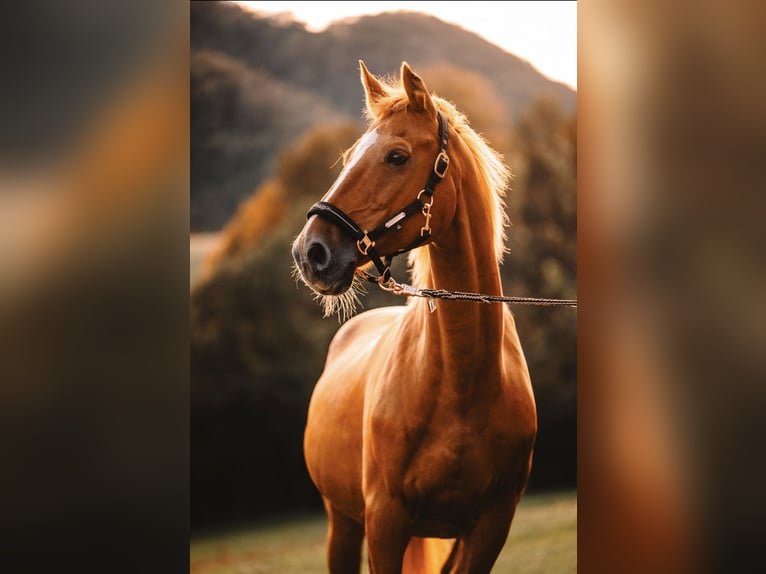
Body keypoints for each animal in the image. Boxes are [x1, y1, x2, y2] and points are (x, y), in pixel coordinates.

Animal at [291, 61, 537, 574]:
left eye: (397, 157)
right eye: (350, 156)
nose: (310, 252)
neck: (459, 380)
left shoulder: (489, 527)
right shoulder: (385, 521)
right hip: (343, 523)